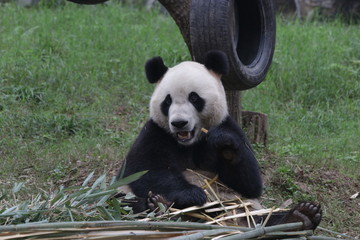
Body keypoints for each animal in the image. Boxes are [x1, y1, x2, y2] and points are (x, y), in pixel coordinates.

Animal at [116, 51, 322, 230]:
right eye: (168, 101)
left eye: (194, 97)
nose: (179, 123)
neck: (189, 143)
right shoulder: (155, 133)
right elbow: (145, 169)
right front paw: (192, 194)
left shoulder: (229, 126)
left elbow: (250, 184)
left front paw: (224, 144)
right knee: (126, 201)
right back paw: (158, 205)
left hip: (242, 209)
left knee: (261, 218)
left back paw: (301, 216)